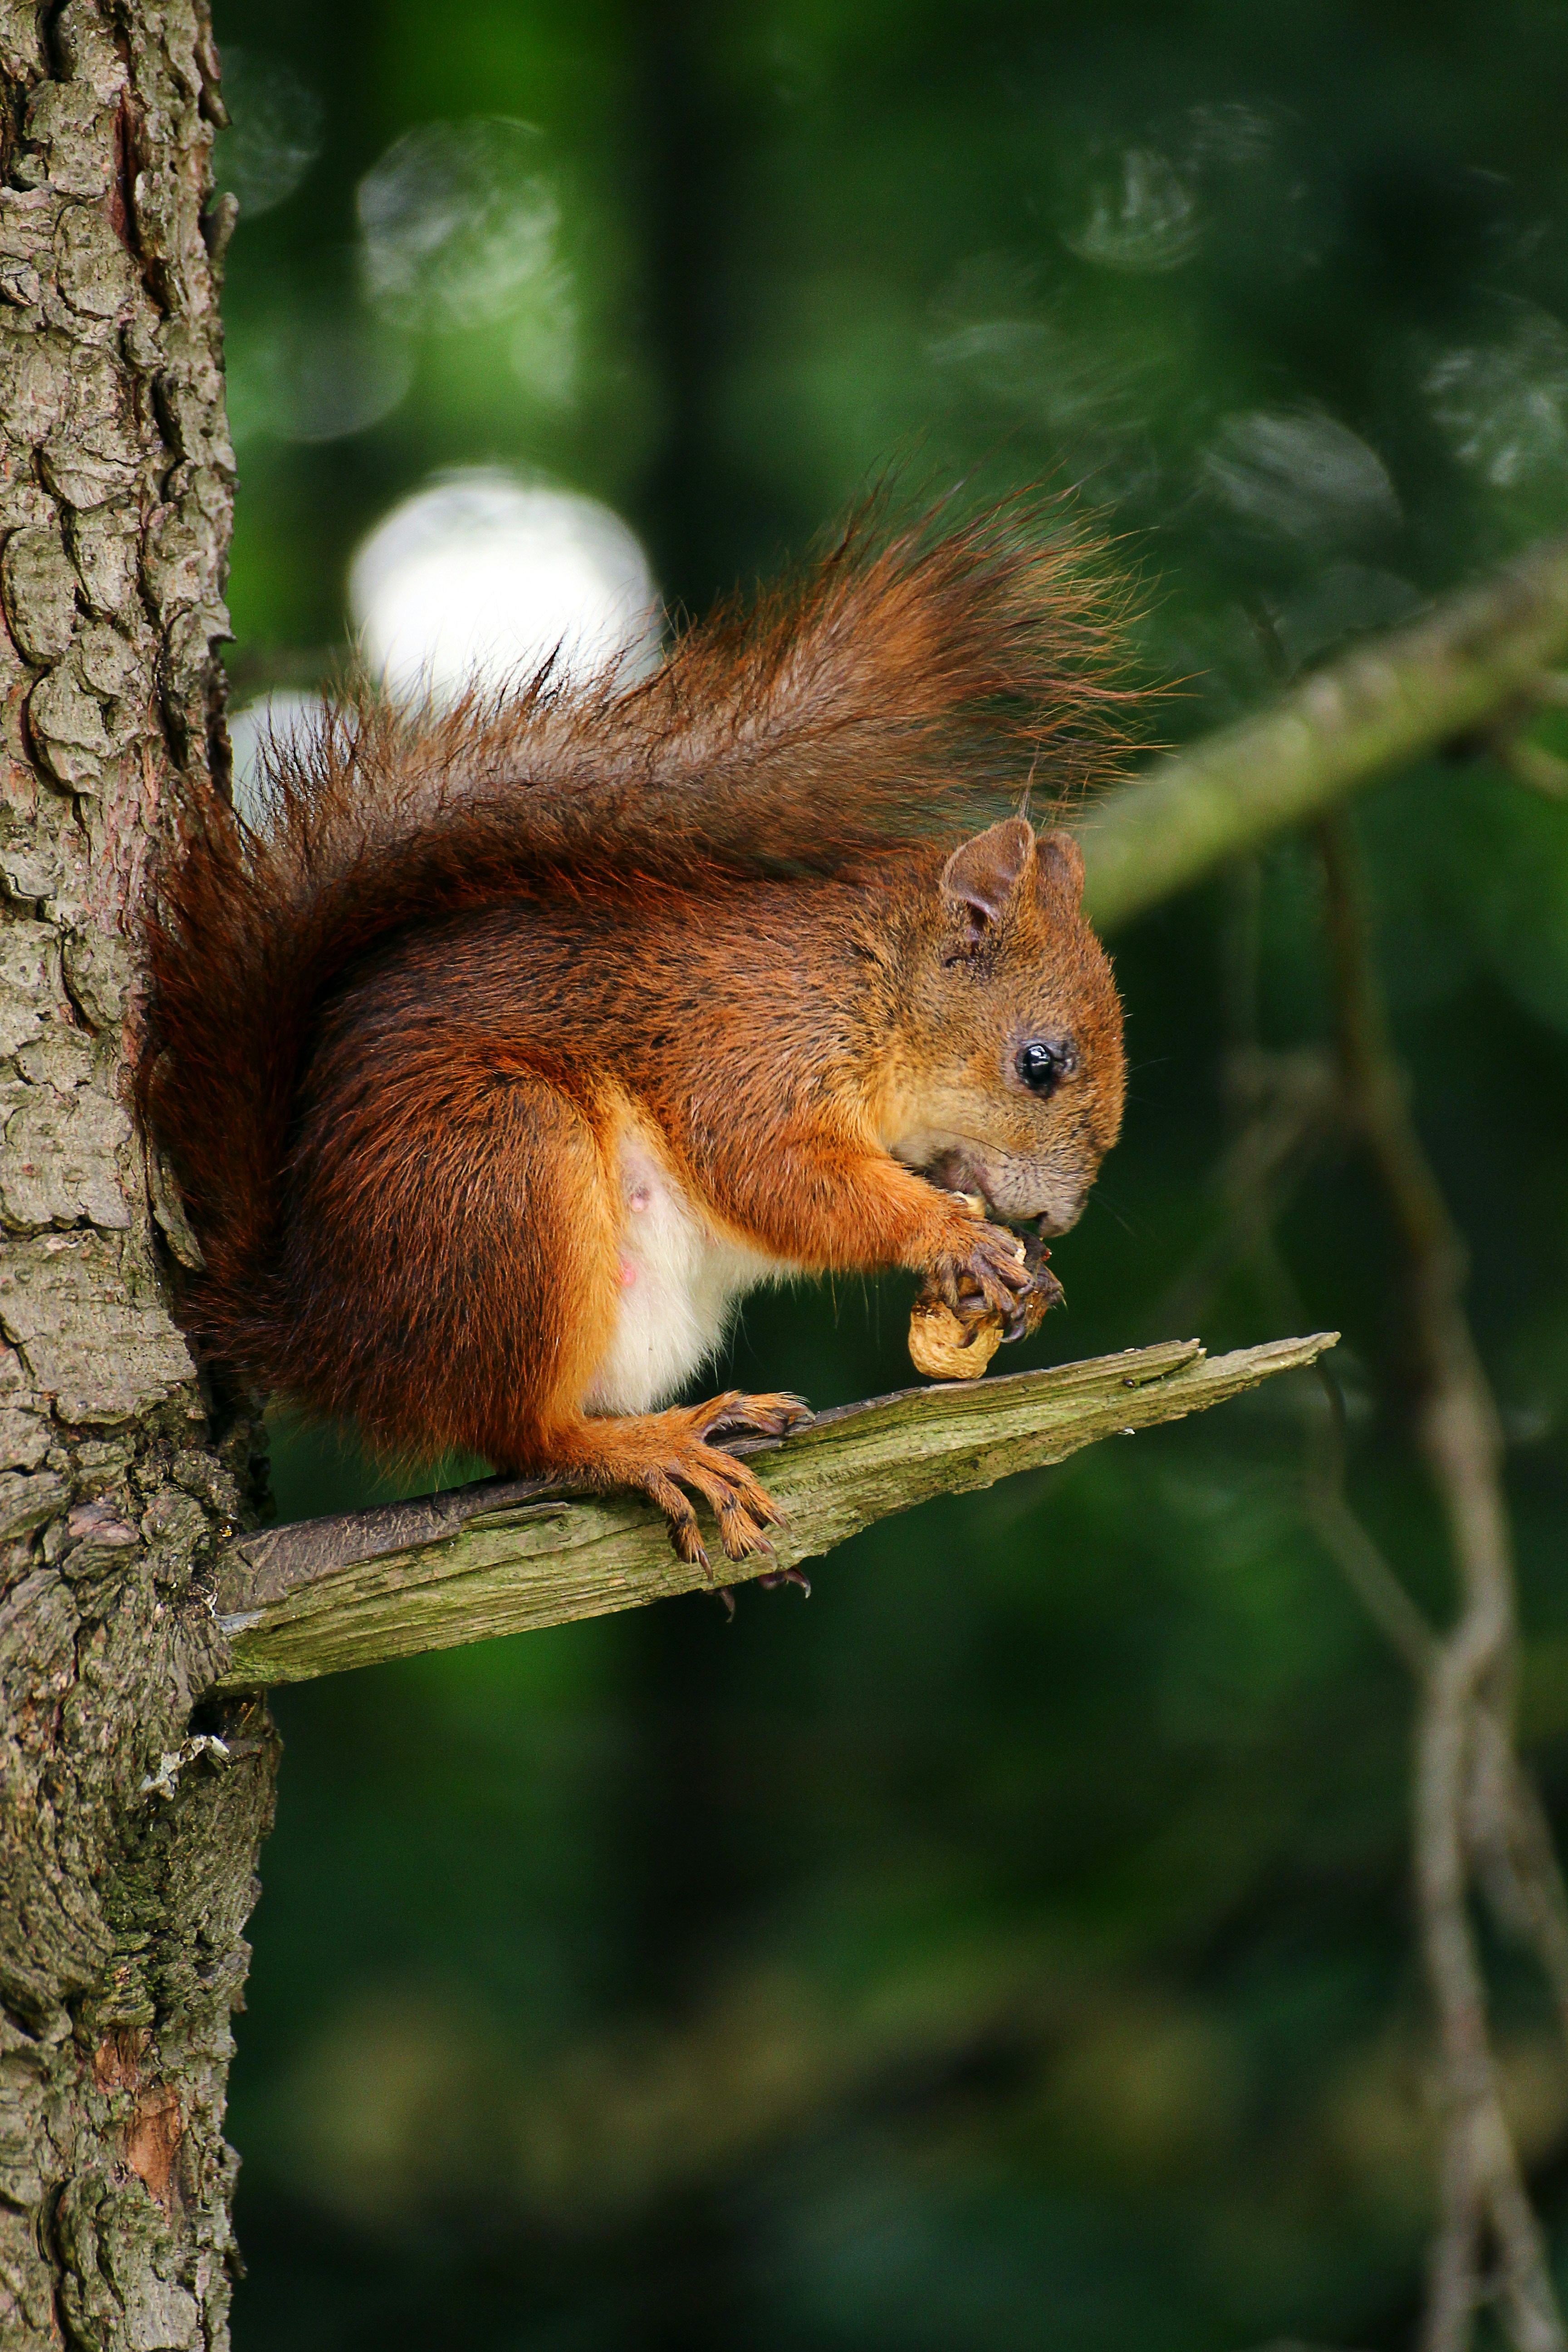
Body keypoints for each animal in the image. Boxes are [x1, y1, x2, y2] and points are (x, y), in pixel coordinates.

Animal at [138, 524, 1128, 1571]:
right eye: (1040, 1063)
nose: (1058, 1219)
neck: (867, 983)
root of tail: (323, 1331)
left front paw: (1029, 1278)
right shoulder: (748, 1046)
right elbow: (773, 1171)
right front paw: (952, 1234)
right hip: (503, 1170)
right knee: (526, 1436)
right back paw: (650, 1446)